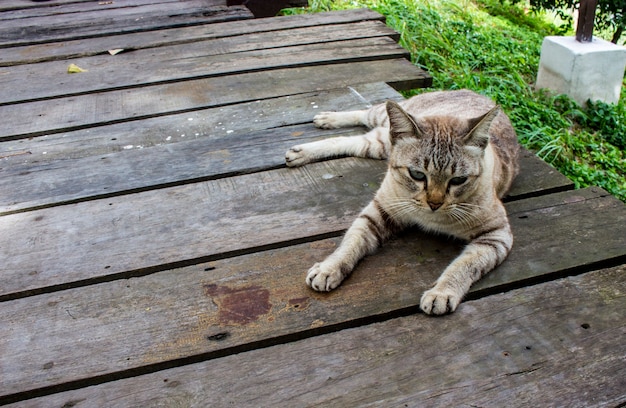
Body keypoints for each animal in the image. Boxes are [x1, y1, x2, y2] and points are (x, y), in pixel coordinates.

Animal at [286, 90, 520, 316]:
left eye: (458, 180)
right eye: (417, 174)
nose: (434, 203)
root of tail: (474, 92)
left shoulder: (496, 236)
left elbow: (464, 265)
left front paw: (441, 293)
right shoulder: (378, 211)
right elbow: (350, 243)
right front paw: (329, 268)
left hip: (379, 145)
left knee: (355, 140)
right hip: (383, 124)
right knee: (365, 114)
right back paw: (322, 123)